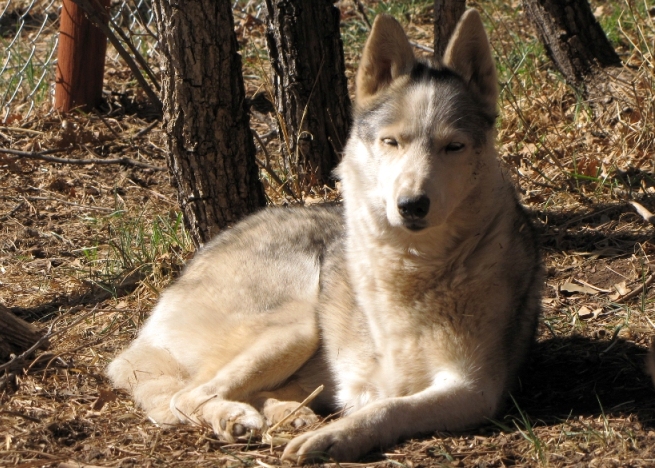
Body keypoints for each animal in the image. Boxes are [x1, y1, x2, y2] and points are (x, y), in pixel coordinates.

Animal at [107, 9, 542, 463]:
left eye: (453, 147)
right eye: (391, 142)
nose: (411, 205)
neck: (414, 265)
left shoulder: (476, 388)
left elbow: (391, 407)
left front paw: (333, 437)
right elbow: (388, 403)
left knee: (241, 394)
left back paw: (288, 417)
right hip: (300, 322)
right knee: (188, 396)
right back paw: (237, 419)